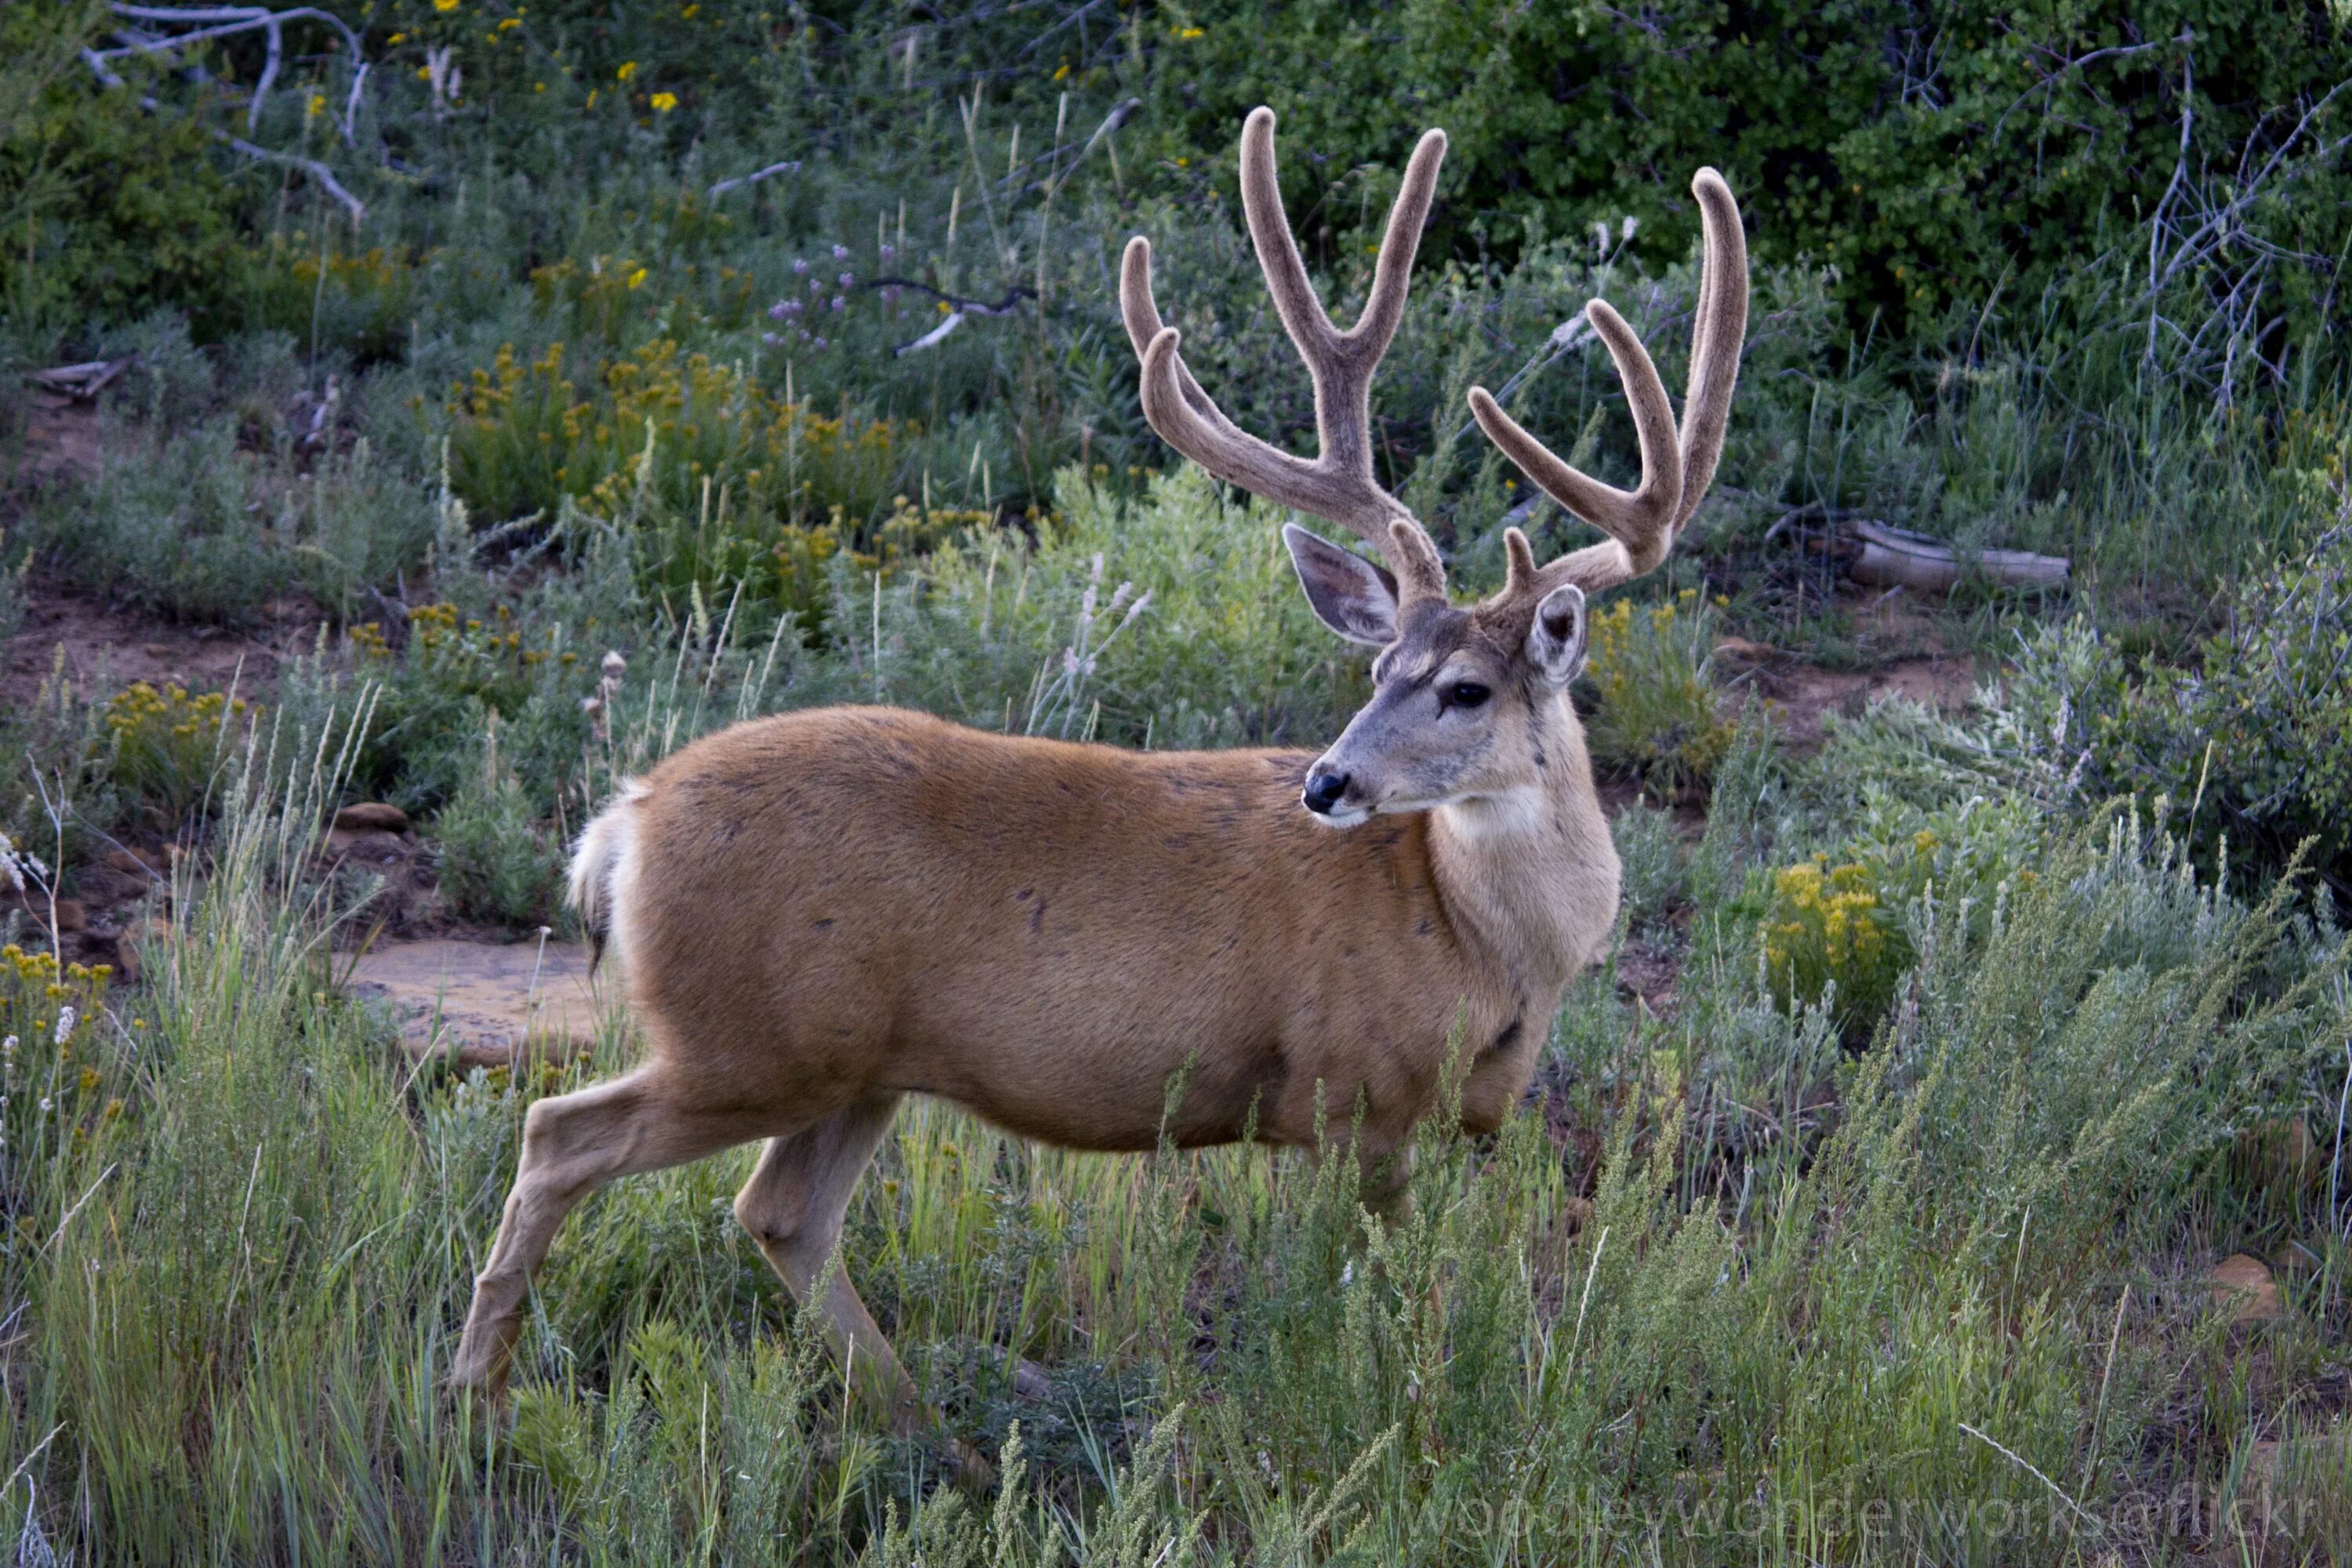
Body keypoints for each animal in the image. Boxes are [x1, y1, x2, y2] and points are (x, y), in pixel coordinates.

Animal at [454, 103, 1750, 1467]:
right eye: (1381, 666)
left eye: (1462, 689)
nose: (1327, 782)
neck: (1484, 942)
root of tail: (625, 822)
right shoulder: (1350, 1097)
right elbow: (1402, 1296)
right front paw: (1412, 1419)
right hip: (747, 1038)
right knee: (561, 1136)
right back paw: (480, 1402)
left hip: (857, 1064)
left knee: (779, 1213)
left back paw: (948, 1445)